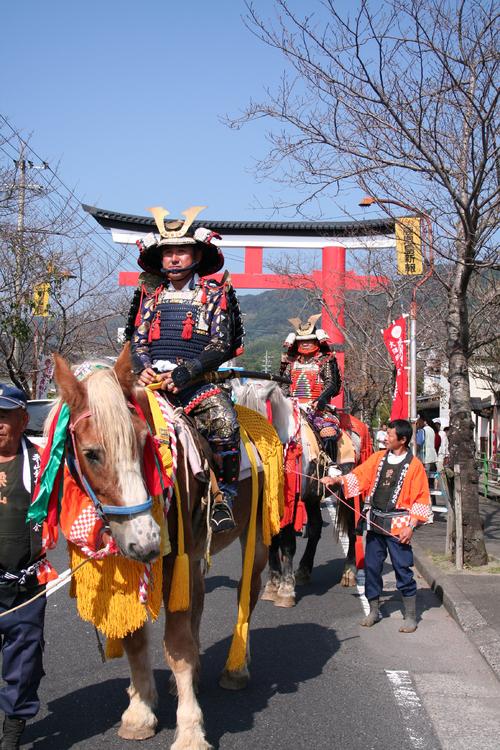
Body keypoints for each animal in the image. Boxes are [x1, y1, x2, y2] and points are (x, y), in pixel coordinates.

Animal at [49, 348, 272, 750]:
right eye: (91, 454)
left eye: (144, 443)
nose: (148, 540)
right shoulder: (133, 560)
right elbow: (136, 641)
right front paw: (139, 713)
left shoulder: (172, 561)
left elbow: (177, 647)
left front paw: (190, 730)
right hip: (196, 552)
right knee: (198, 600)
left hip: (256, 536)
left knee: (247, 596)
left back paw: (237, 668)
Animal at [231, 378, 368, 608]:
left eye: (256, 418)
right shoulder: (267, 503)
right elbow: (273, 541)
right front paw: (272, 586)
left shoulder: (291, 501)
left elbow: (287, 543)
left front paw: (286, 590)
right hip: (313, 496)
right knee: (315, 528)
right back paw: (304, 570)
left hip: (348, 492)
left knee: (351, 528)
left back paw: (348, 573)